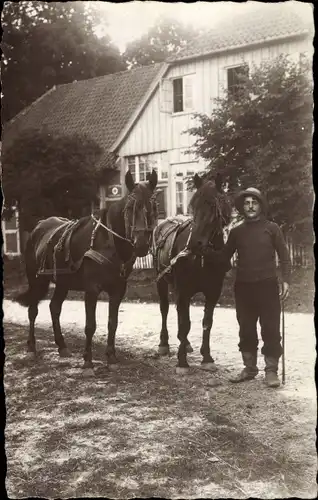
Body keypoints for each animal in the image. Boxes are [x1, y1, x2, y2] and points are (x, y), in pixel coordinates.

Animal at [14, 170, 159, 374]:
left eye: (153, 206)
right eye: (130, 208)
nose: (141, 245)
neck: (108, 241)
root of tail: (38, 227)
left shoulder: (118, 290)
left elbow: (112, 323)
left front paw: (111, 357)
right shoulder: (92, 290)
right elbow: (90, 325)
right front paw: (88, 362)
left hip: (62, 283)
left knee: (54, 307)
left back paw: (62, 346)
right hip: (36, 279)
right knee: (33, 311)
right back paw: (31, 348)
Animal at [152, 174, 231, 374]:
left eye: (214, 208)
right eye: (193, 206)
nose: (195, 243)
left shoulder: (213, 292)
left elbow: (207, 322)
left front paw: (207, 357)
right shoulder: (184, 291)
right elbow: (184, 323)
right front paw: (182, 362)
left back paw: (185, 343)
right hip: (161, 281)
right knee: (165, 309)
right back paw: (164, 344)